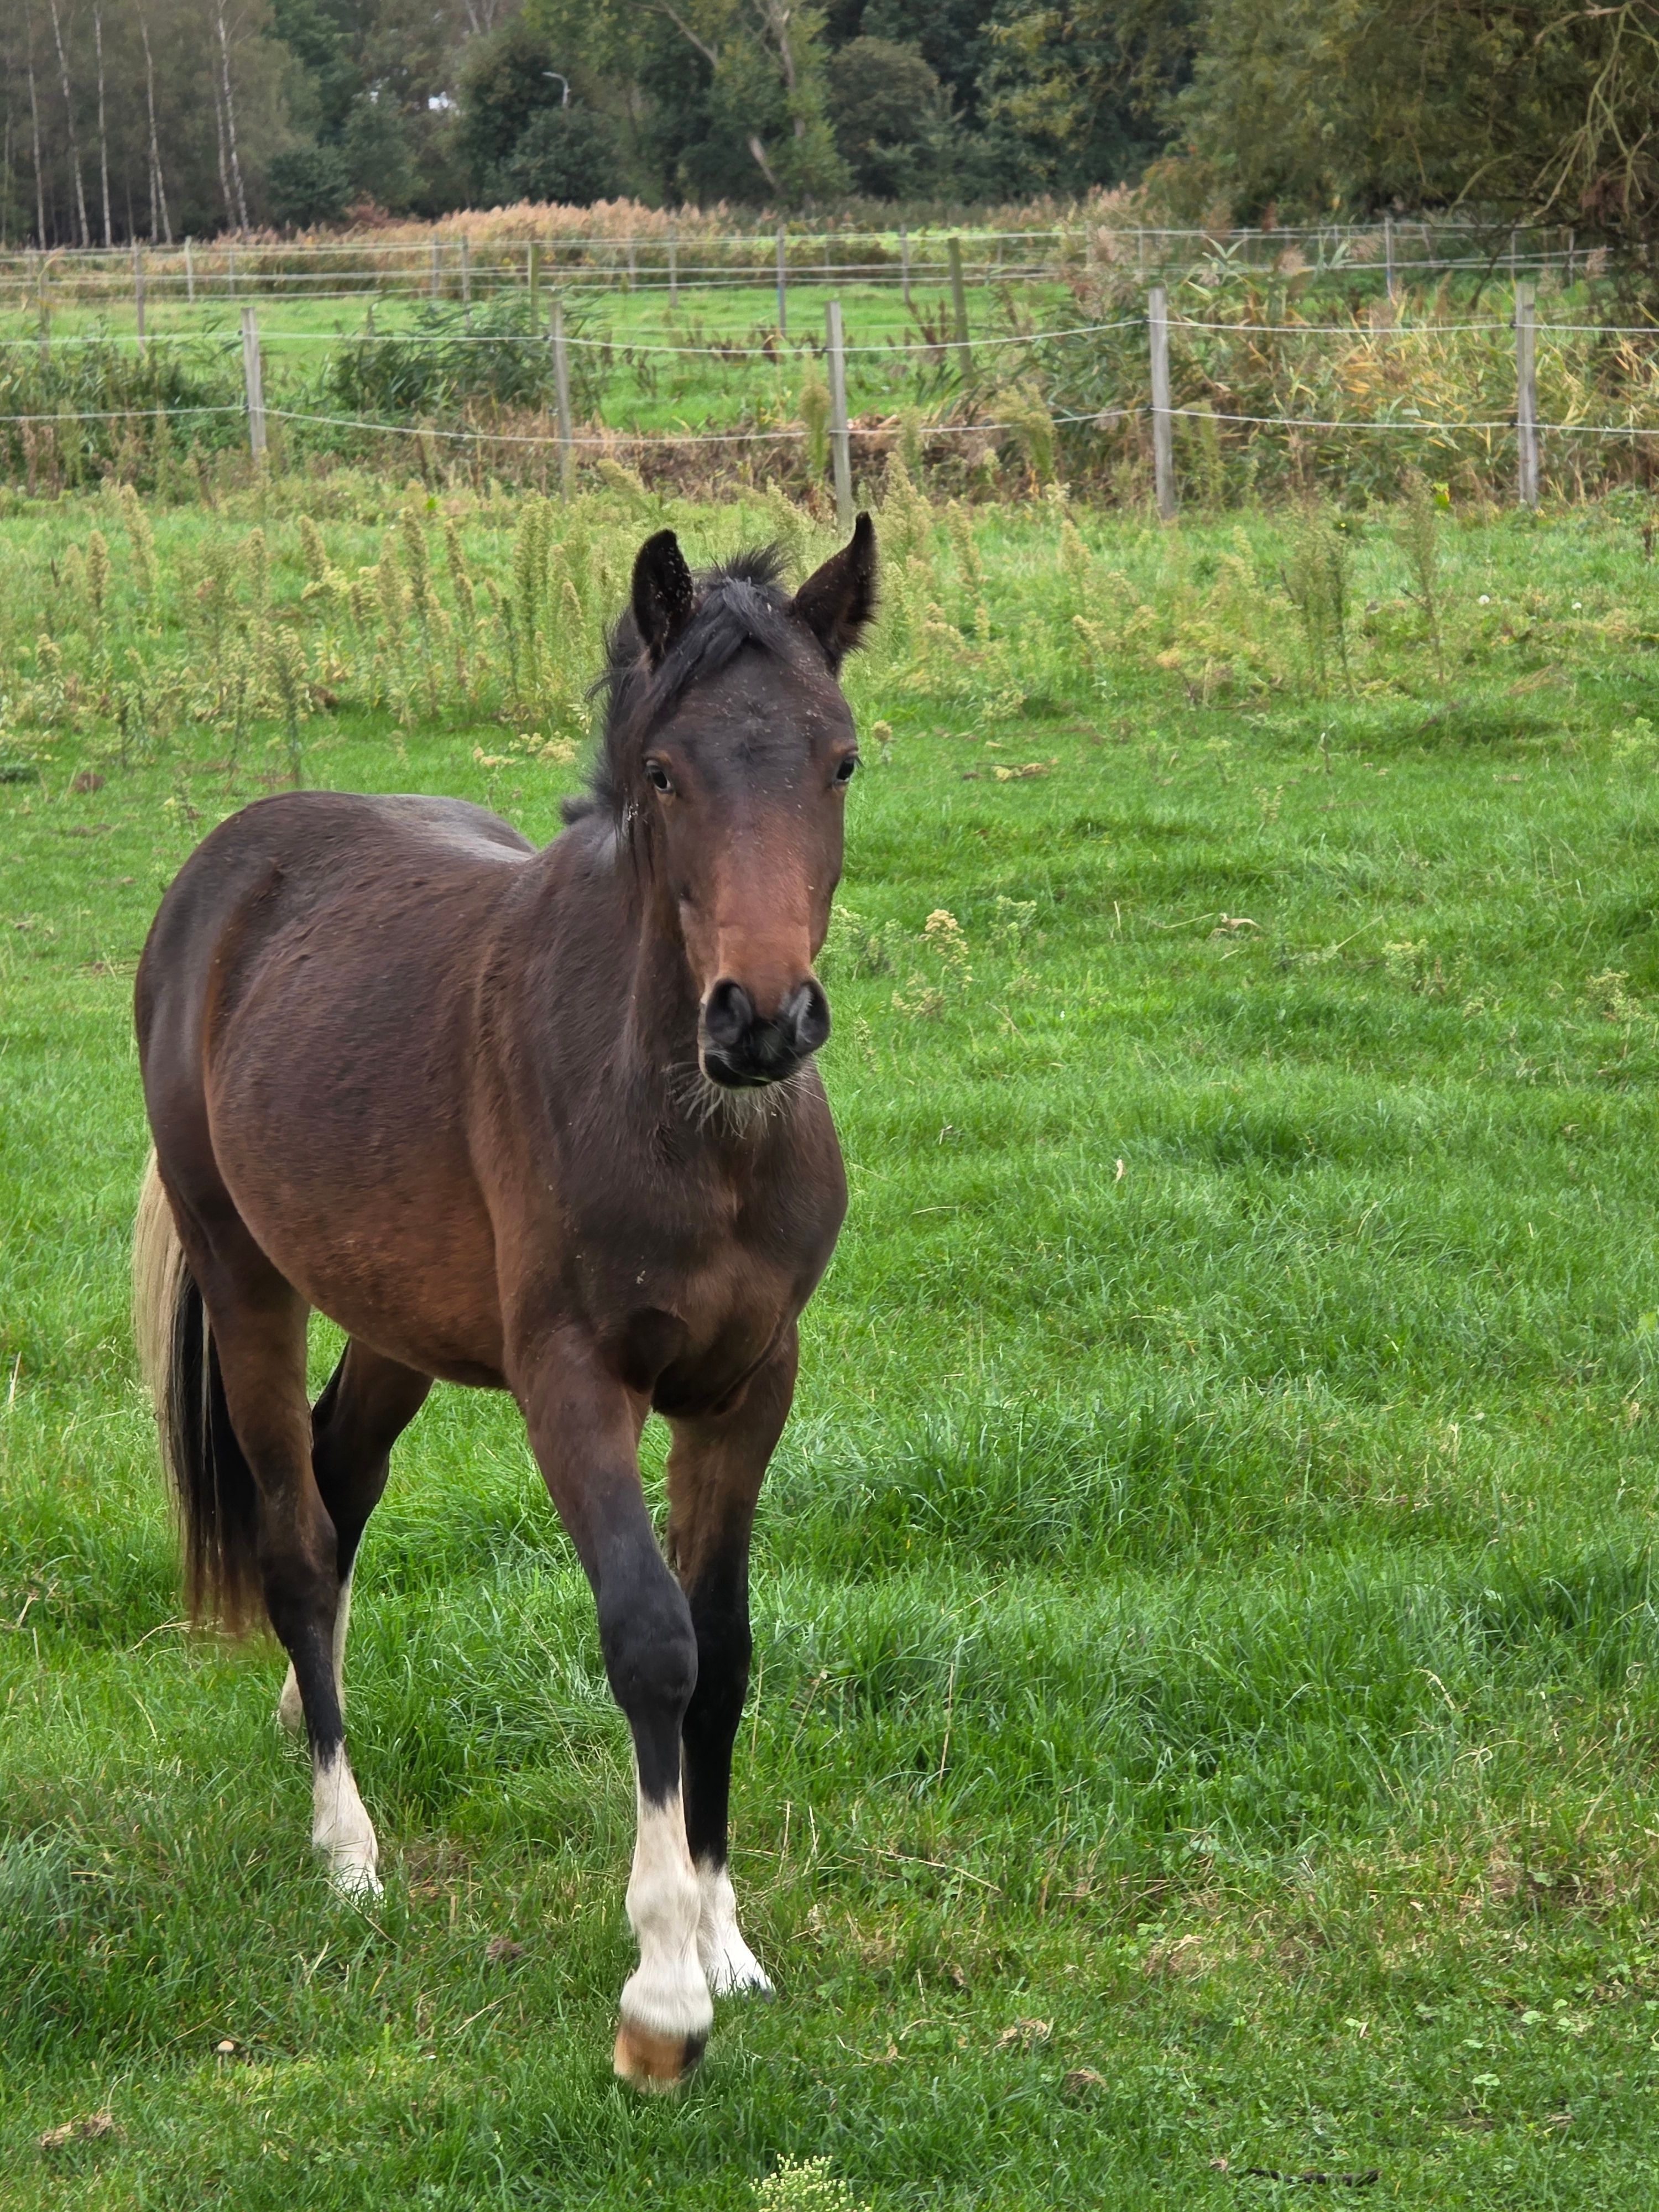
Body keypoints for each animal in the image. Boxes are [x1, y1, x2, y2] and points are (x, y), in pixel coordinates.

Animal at [130, 517, 876, 2089]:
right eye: (666, 771)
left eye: (838, 759)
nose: (761, 1020)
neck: (690, 1126)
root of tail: (221, 872)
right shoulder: (572, 1382)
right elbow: (651, 1637)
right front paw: (662, 1992)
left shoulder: (749, 1384)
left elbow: (725, 1648)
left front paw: (726, 1936)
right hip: (247, 1275)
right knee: (296, 1536)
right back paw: (345, 1846)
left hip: (392, 1319)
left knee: (342, 1477)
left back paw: (301, 1715)